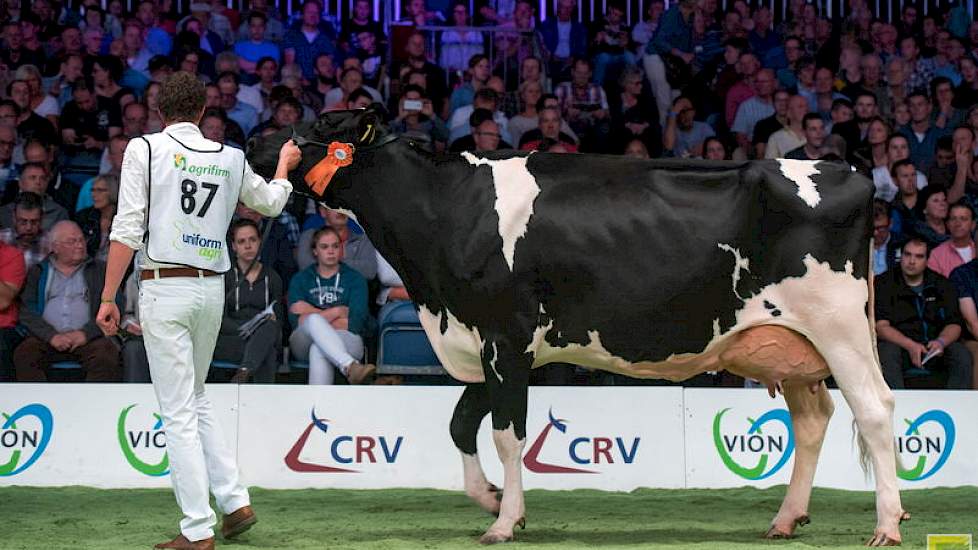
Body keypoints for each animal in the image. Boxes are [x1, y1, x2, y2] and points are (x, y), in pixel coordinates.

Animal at [250, 108, 908, 548]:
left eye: (318, 124)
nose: (257, 140)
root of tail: (848, 171)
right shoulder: (485, 341)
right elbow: (462, 424)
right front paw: (491, 498)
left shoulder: (506, 337)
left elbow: (507, 435)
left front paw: (504, 521)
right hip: (790, 345)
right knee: (813, 419)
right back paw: (786, 518)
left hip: (840, 328)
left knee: (875, 410)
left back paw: (887, 524)